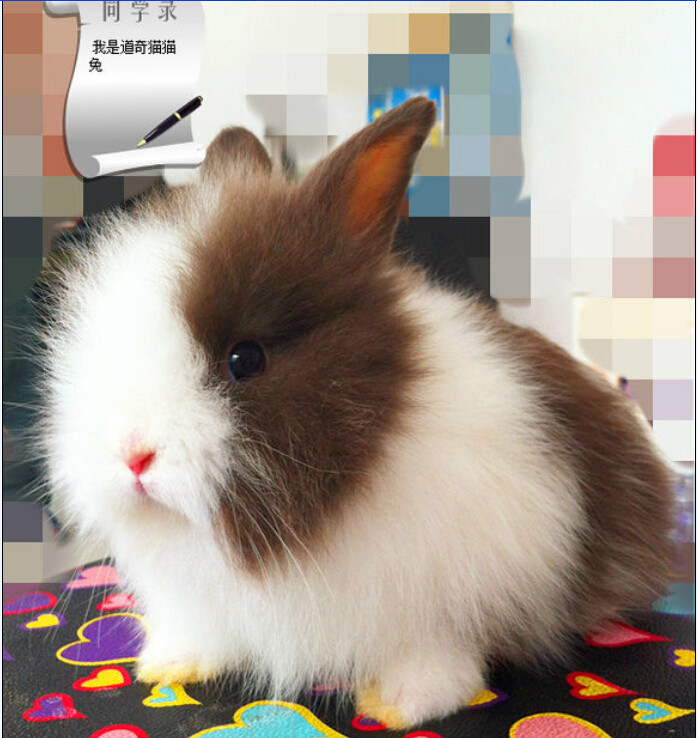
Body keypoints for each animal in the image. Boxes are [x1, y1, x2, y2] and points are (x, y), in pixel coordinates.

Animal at [39, 97, 675, 729]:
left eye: (245, 359)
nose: (132, 456)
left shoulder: (449, 599)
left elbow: (435, 655)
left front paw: (400, 704)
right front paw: (169, 665)